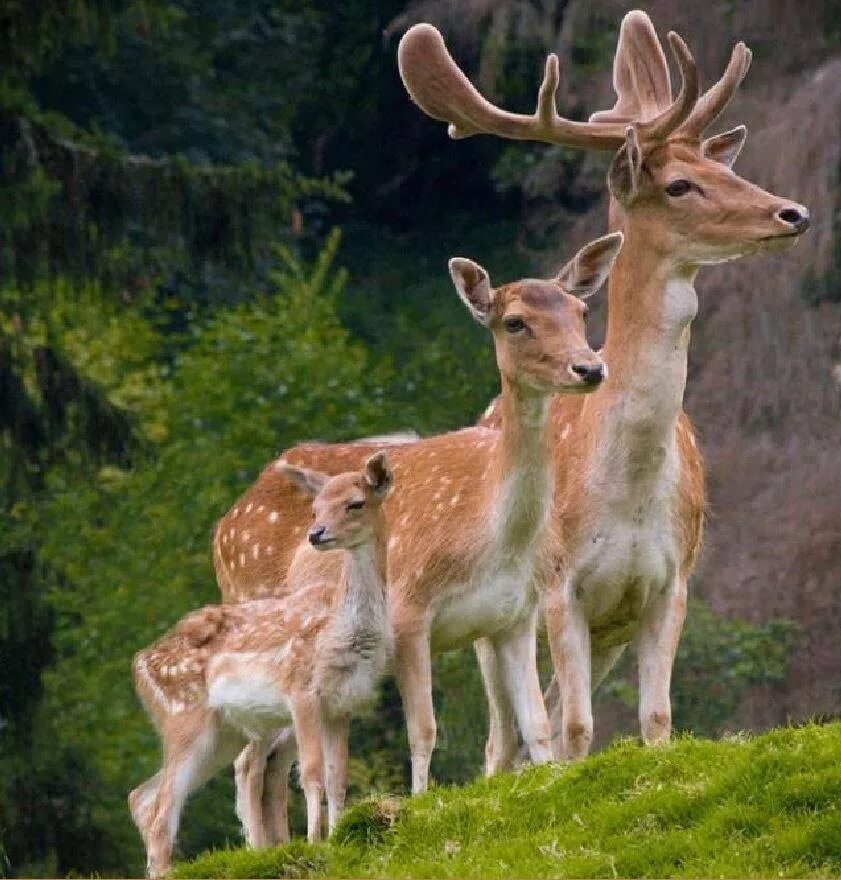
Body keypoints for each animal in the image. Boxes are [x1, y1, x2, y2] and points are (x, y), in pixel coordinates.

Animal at [128, 450, 394, 876]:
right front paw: (315, 842)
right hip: (184, 719)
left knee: (143, 796)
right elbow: (312, 773)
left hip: (222, 734)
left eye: (355, 503)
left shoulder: (342, 704)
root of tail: (138, 665)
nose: (316, 533)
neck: (341, 631)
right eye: (315, 508)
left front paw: (338, 838)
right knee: (160, 809)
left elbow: (338, 776)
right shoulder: (301, 689)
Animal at [213, 230, 620, 796]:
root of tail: (220, 529)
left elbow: (537, 723)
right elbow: (424, 728)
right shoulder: (409, 608)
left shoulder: (513, 617)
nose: (589, 367)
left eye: (581, 311)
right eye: (514, 321)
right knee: (248, 760)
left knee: (270, 758)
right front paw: (421, 800)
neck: (493, 536)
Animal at [398, 10, 812, 768]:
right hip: (496, 615)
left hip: (602, 633)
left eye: (723, 166)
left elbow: (656, 718)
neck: (622, 493)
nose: (792, 213)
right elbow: (576, 732)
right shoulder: (560, 589)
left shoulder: (669, 583)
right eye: (678, 184)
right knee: (504, 736)